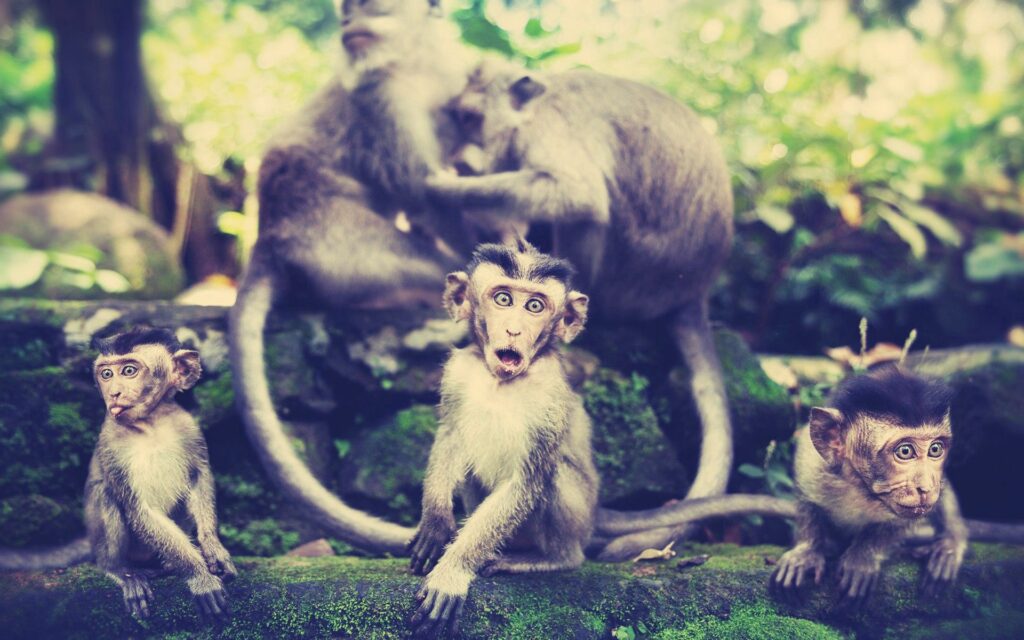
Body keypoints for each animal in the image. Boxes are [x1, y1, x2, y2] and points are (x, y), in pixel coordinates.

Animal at [229, 0, 479, 554]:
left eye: (369, 8)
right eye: (346, 10)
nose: (348, 22)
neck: (411, 64)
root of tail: (269, 234)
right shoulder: (379, 103)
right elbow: (424, 189)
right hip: (340, 244)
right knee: (421, 262)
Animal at [407, 240, 599, 636]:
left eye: (535, 306)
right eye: (503, 299)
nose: (513, 331)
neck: (502, 381)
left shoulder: (549, 397)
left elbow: (526, 481)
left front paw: (452, 572)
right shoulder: (458, 371)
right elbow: (451, 435)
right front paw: (435, 522)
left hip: (579, 520)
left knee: (552, 476)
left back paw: (551, 559)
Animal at [424, 64, 735, 559]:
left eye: (472, 118)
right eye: (458, 117)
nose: (461, 155)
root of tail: (695, 290)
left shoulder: (546, 131)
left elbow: (576, 194)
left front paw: (445, 187)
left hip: (633, 279)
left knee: (587, 216)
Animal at [770, 366, 966, 604]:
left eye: (935, 449)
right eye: (905, 451)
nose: (926, 488)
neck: (861, 488)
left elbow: (901, 521)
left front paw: (862, 557)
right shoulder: (811, 463)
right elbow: (807, 499)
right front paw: (806, 551)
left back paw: (949, 544)